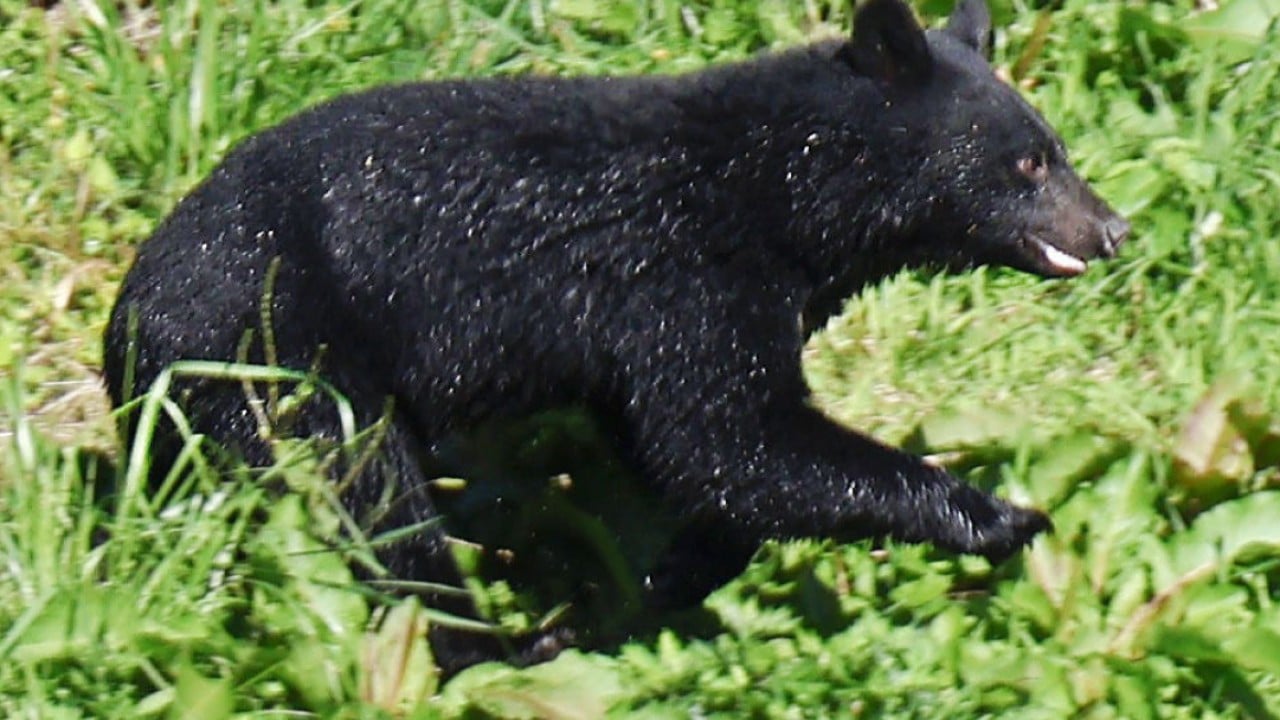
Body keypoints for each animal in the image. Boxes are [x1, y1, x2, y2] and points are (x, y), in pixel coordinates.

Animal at [103, 0, 1129, 674]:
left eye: (1054, 147)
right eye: (1029, 162)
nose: (1112, 229)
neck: (778, 192)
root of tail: (126, 328)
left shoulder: (634, 336)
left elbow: (682, 453)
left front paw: (659, 582)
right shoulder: (683, 276)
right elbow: (728, 438)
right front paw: (1002, 516)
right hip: (276, 355)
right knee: (373, 498)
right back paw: (498, 647)